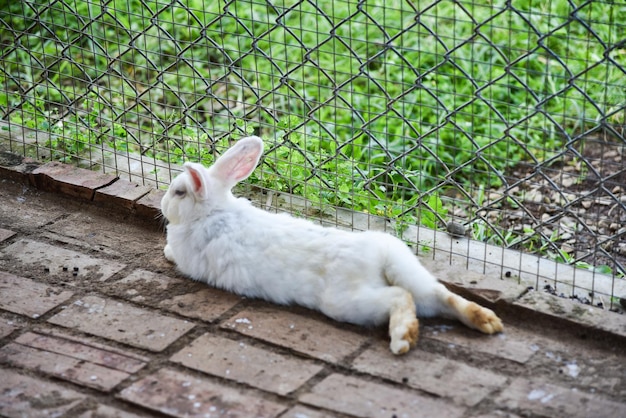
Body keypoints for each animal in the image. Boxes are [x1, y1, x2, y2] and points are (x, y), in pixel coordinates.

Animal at [161, 136, 502, 354]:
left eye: (179, 192)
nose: (163, 205)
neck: (213, 211)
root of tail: (379, 258)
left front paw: (165, 250)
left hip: (346, 302)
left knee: (400, 297)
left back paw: (403, 339)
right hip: (412, 273)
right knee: (440, 296)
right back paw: (487, 322)